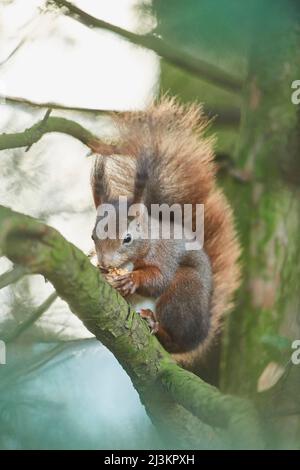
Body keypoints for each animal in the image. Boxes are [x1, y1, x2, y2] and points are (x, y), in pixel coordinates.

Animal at [90, 97, 240, 366]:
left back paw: (156, 325)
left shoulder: (165, 253)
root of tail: (200, 335)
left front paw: (132, 280)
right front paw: (103, 273)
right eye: (92, 236)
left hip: (184, 293)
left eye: (127, 238)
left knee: (172, 340)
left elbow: (159, 277)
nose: (105, 263)